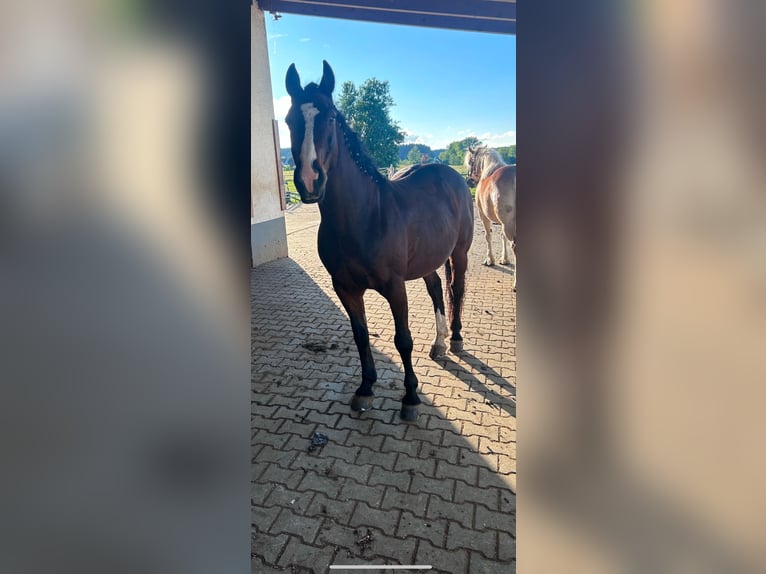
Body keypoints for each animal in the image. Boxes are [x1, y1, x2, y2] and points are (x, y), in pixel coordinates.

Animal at [284, 62, 474, 424]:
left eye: (331, 117)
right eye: (289, 120)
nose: (309, 181)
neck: (364, 217)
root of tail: (454, 176)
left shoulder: (395, 287)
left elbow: (403, 340)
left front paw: (411, 397)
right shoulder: (345, 288)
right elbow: (360, 336)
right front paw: (365, 389)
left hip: (459, 253)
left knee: (455, 288)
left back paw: (455, 338)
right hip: (427, 259)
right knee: (435, 288)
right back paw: (439, 342)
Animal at [464, 147, 520, 292]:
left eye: (471, 162)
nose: (469, 181)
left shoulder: (483, 215)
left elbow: (488, 236)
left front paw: (490, 260)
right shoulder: (502, 223)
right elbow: (502, 236)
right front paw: (504, 259)